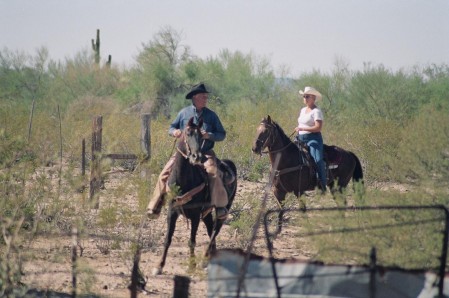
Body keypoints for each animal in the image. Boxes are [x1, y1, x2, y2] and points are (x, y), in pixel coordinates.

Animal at [151, 117, 236, 276]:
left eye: (202, 136)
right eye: (188, 133)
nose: (197, 157)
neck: (183, 181)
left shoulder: (195, 214)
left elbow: (192, 241)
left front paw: (191, 266)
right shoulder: (172, 212)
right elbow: (168, 239)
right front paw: (159, 266)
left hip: (224, 207)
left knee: (215, 230)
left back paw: (204, 260)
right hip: (206, 212)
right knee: (210, 228)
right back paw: (209, 258)